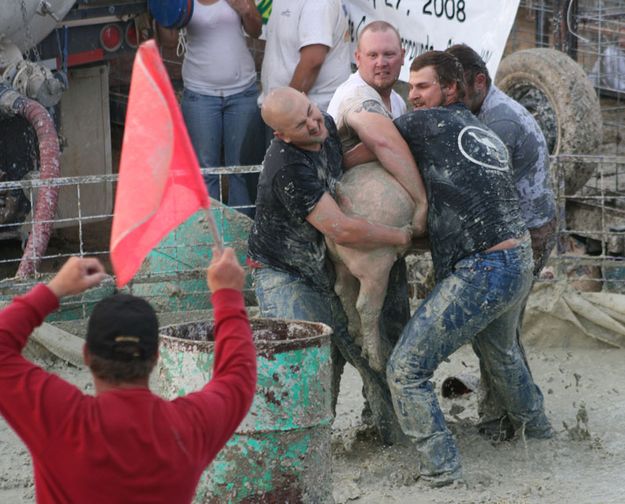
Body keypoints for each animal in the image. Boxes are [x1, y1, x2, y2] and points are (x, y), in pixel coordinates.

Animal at [324, 162, 416, 374]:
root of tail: (344, 195)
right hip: (376, 263)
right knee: (366, 305)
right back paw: (377, 360)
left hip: (338, 257)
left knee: (343, 289)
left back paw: (358, 337)